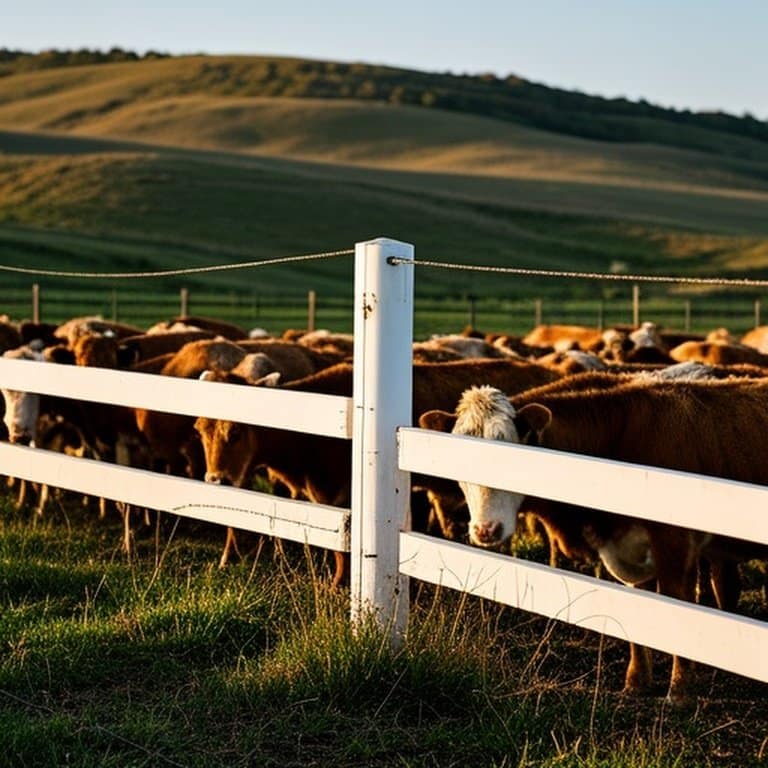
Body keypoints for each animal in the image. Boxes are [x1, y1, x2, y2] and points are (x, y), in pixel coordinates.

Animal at [418, 377, 768, 703]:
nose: (485, 530)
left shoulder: (676, 544)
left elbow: (677, 607)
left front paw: (679, 690)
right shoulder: (626, 550)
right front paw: (636, 682)